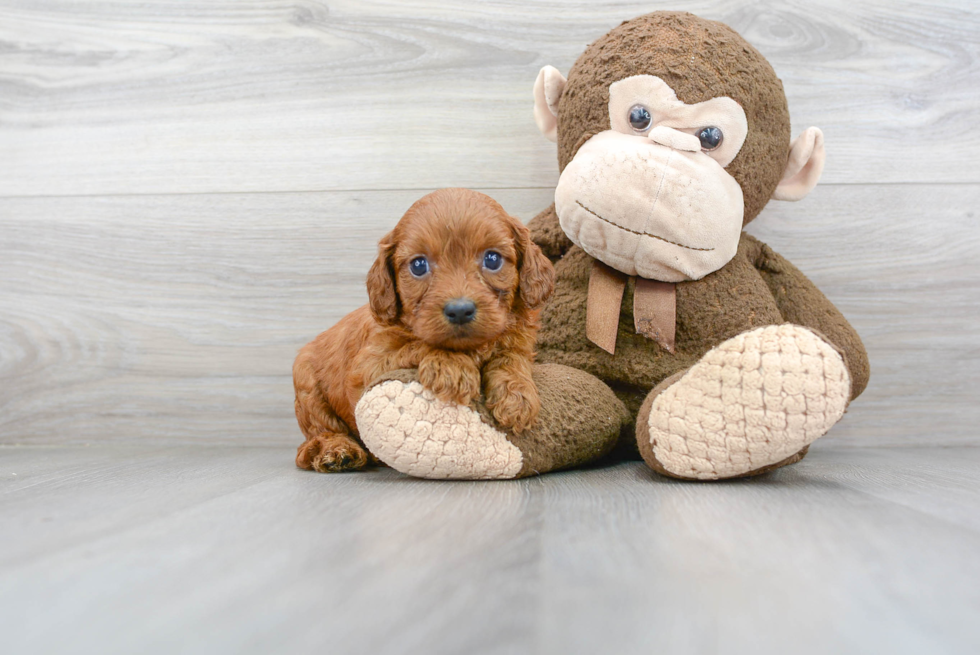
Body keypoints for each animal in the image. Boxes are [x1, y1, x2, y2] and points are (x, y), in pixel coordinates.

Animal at [290, 188, 556, 472]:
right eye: (418, 265)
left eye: (492, 259)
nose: (460, 310)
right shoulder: (366, 369)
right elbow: (417, 344)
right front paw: (451, 367)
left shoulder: (520, 341)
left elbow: (511, 358)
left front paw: (518, 397)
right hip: (306, 386)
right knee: (319, 432)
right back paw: (338, 450)